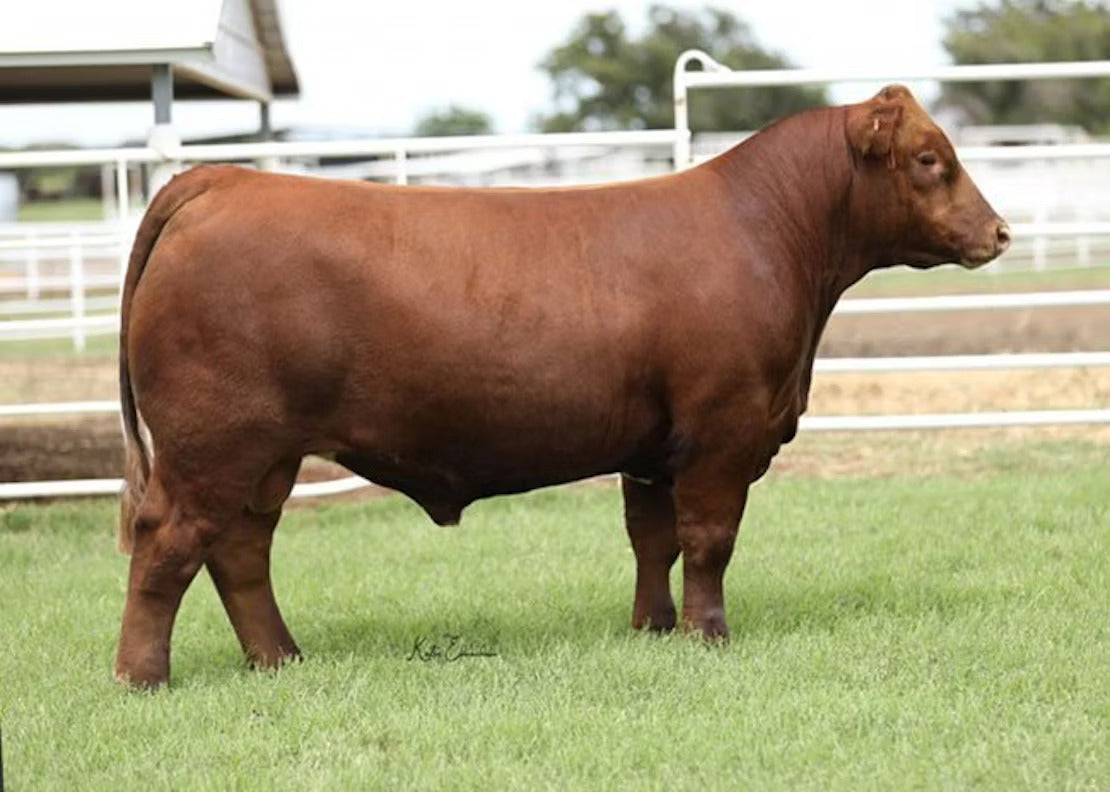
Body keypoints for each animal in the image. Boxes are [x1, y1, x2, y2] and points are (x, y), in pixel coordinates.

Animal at [114, 85, 1009, 687]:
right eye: (930, 159)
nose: (999, 232)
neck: (772, 234)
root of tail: (223, 180)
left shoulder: (653, 447)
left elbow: (653, 538)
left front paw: (653, 629)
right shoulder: (723, 431)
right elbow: (708, 539)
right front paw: (708, 636)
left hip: (265, 457)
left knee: (240, 549)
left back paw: (280, 660)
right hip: (212, 444)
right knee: (169, 541)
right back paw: (143, 675)